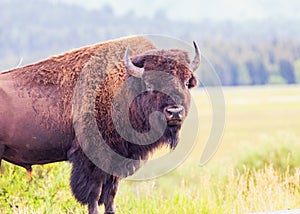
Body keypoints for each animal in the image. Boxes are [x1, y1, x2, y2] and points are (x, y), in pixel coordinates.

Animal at [0, 36, 202, 213]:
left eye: (186, 82)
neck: (120, 88)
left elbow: (110, 196)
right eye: (150, 84)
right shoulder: (92, 161)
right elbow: (94, 196)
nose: (174, 112)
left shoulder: (116, 162)